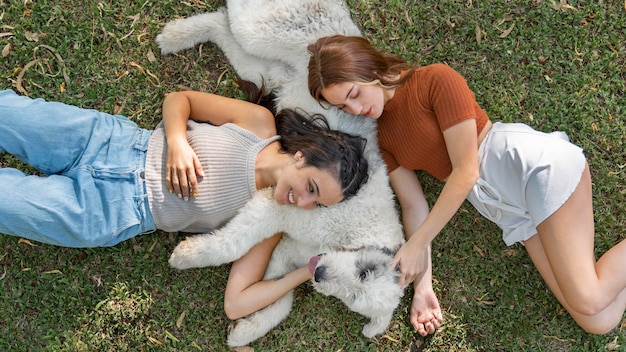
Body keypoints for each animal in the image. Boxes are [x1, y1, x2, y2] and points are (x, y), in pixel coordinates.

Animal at [157, 0, 404, 346]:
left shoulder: (288, 250)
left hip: (266, 68)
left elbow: (279, 296)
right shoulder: (276, 207)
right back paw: (174, 34)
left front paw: (247, 330)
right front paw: (187, 256)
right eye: (364, 271)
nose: (321, 274)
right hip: (262, 31)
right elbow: (231, 244)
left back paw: (176, 36)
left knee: (220, 25)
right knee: (231, 15)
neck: (355, 234)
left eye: (353, 297)